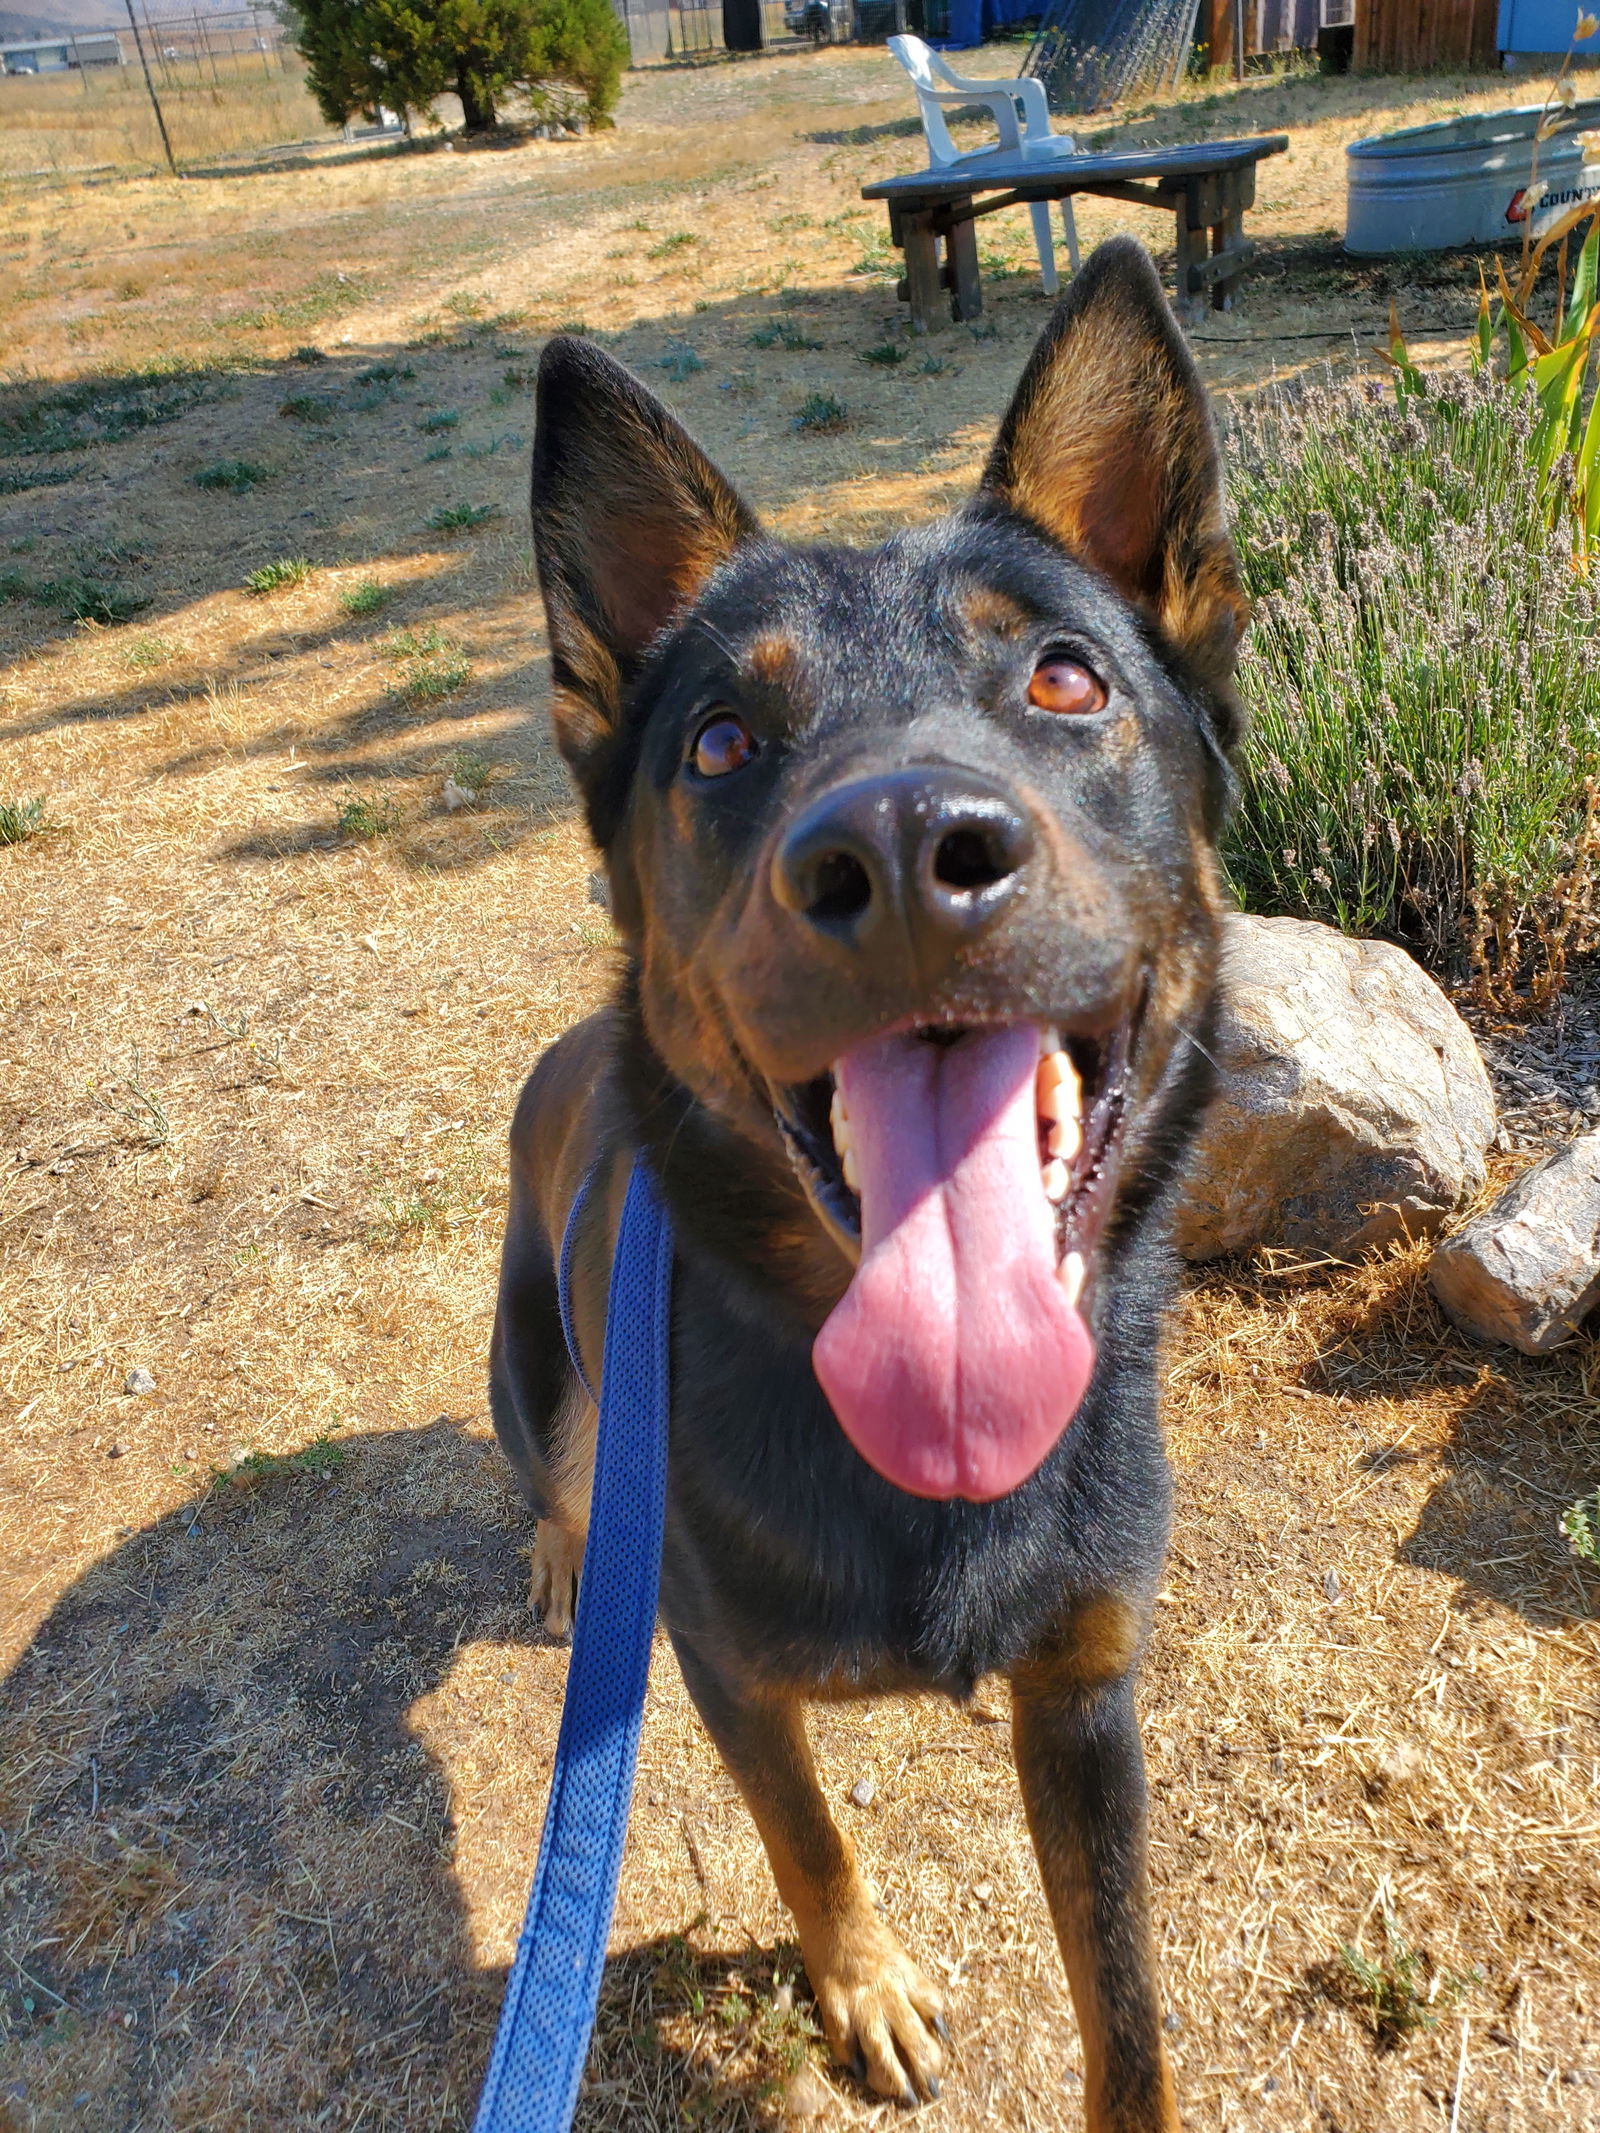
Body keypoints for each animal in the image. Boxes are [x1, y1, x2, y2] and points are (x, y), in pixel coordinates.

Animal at [494, 242, 1245, 2124]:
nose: (903, 850)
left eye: (1066, 680)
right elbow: (808, 1833)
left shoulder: (1088, 1691)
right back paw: (556, 1547)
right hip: (525, 1361)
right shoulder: (721, 1667)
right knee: (554, 1470)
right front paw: (867, 1981)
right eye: (717, 741)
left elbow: (1127, 2005)